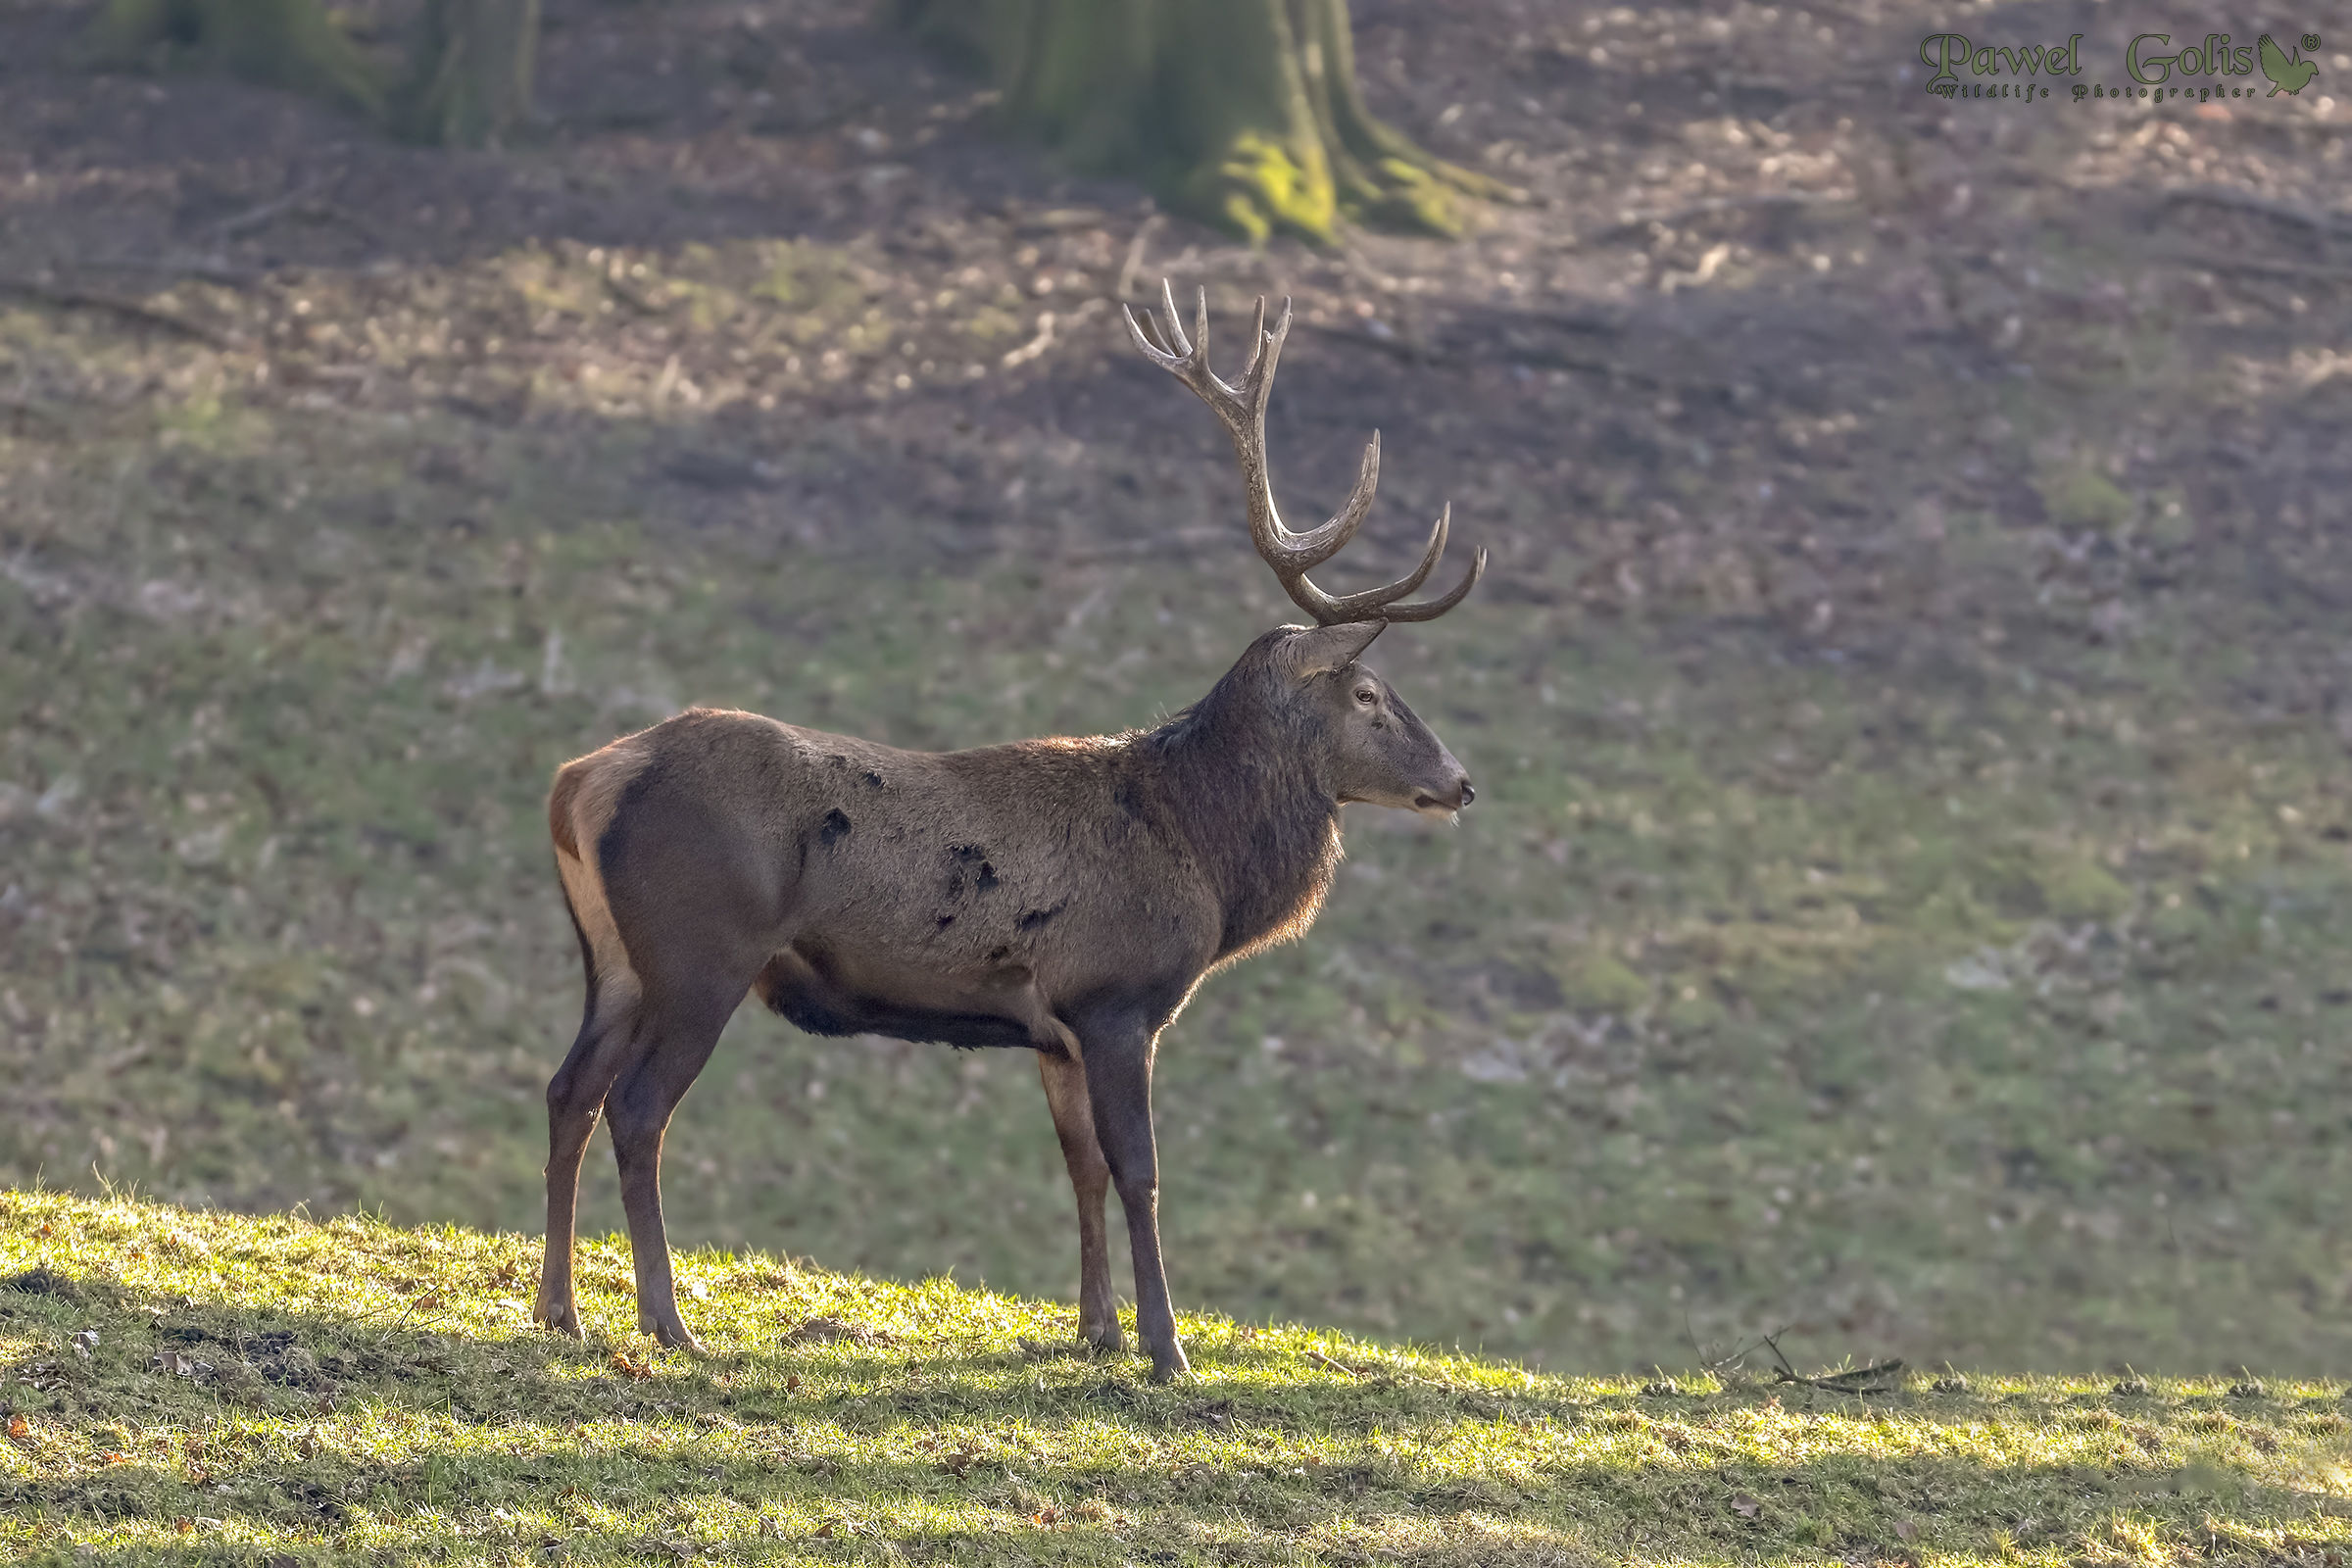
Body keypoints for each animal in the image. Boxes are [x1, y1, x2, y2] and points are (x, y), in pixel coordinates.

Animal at [533, 282, 1483, 1382]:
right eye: (1369, 693)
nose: (1461, 783)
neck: (1203, 855)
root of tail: (582, 782)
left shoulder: (1054, 1029)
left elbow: (1079, 1168)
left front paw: (1096, 1328)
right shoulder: (1117, 1000)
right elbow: (1140, 1171)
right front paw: (1167, 1347)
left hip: (616, 960)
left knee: (568, 1090)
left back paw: (560, 1309)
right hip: (702, 953)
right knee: (638, 1108)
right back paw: (664, 1318)